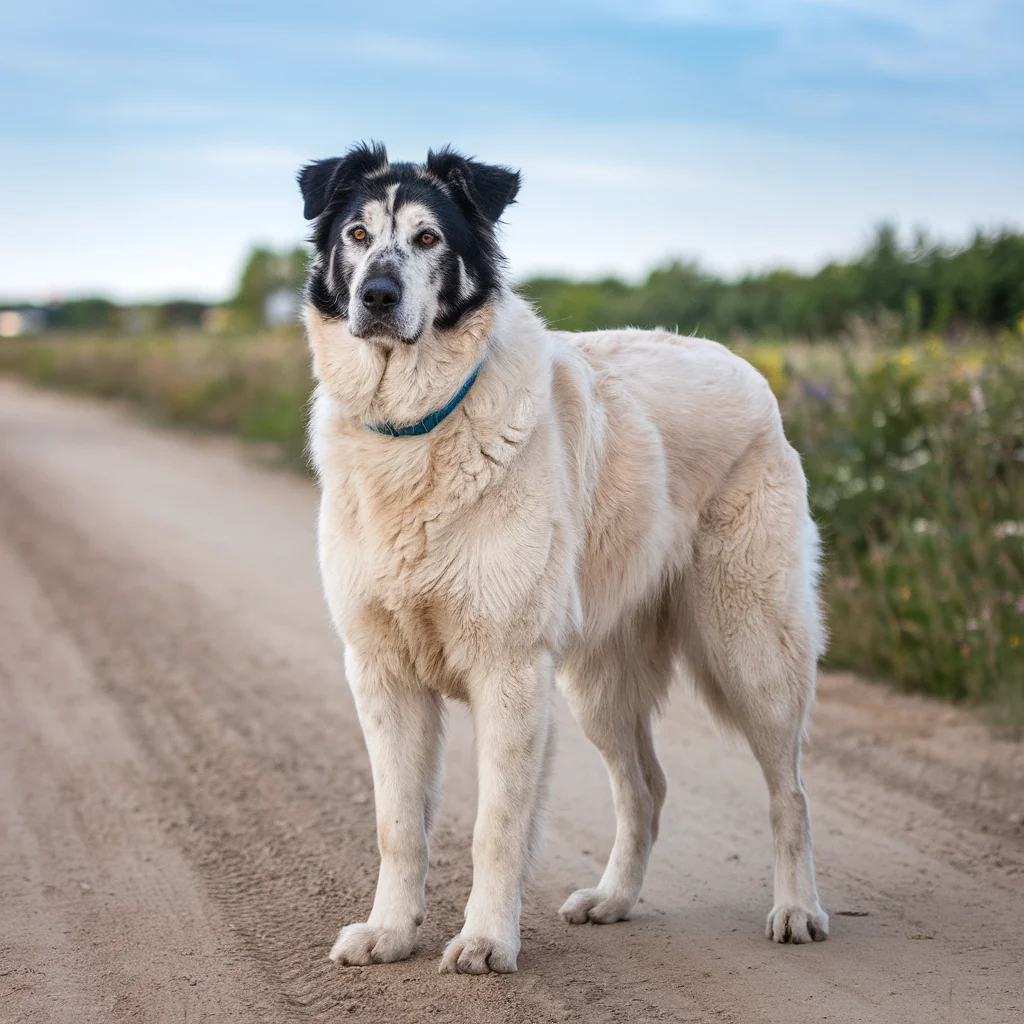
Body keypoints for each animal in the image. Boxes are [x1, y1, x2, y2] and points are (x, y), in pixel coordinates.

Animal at [299, 144, 827, 974]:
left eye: (426, 239)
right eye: (356, 234)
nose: (378, 296)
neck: (417, 429)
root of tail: (744, 366)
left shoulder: (510, 676)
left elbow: (495, 828)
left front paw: (485, 940)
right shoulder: (382, 674)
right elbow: (397, 825)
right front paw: (389, 932)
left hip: (752, 655)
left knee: (790, 794)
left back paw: (798, 909)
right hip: (597, 688)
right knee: (645, 790)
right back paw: (612, 900)